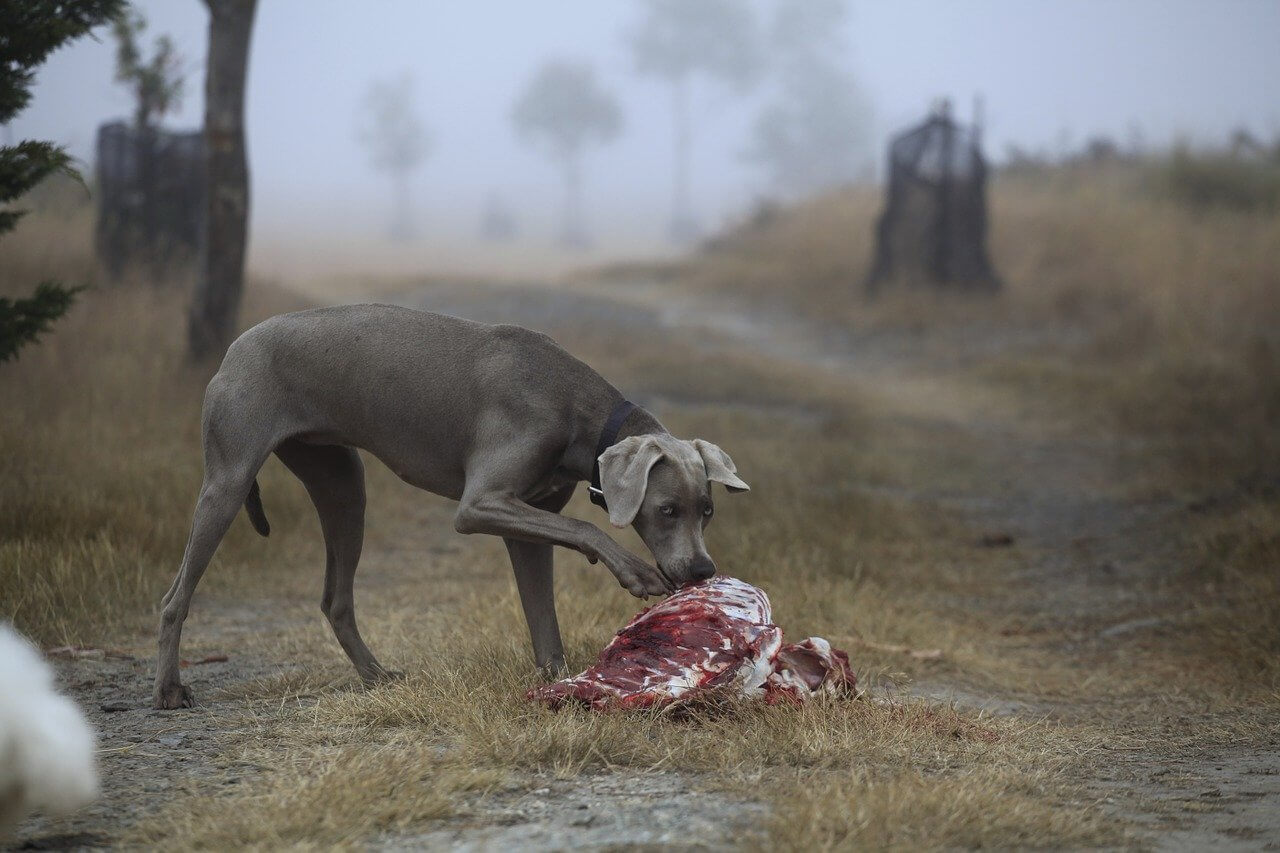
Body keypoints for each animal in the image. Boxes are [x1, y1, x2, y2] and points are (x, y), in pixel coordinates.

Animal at [156, 302, 747, 706]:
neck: (578, 409)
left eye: (708, 511)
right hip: (228, 481)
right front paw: (634, 571)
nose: (702, 570)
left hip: (343, 483)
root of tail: (236, 346)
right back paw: (169, 690)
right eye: (667, 510)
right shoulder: (481, 505)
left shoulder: (528, 520)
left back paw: (376, 676)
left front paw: (559, 683)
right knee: (174, 596)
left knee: (336, 597)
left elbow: (544, 616)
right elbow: (587, 530)